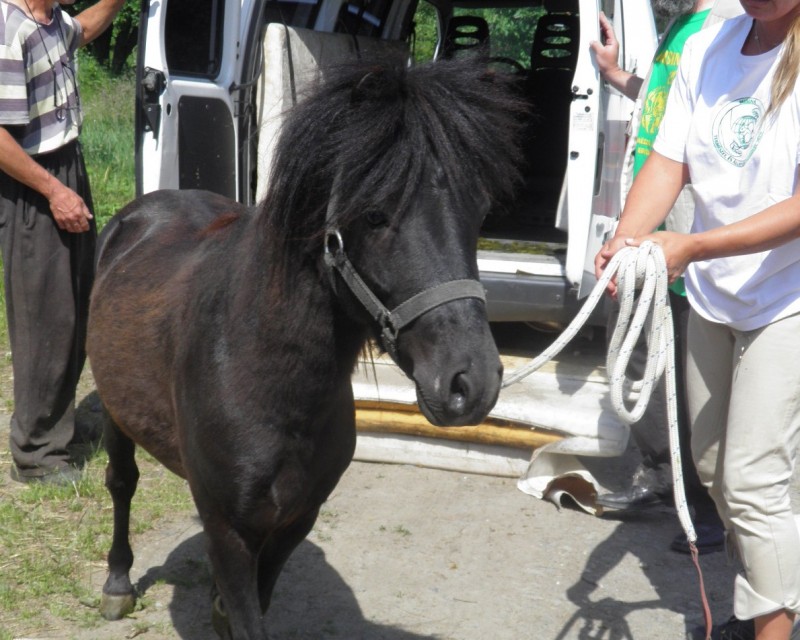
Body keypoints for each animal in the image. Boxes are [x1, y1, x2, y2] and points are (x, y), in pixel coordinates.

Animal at [87, 57, 524, 636]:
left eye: (478, 212)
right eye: (375, 214)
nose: (470, 383)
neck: (261, 372)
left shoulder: (297, 520)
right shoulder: (228, 531)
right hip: (116, 413)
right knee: (122, 483)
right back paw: (117, 584)